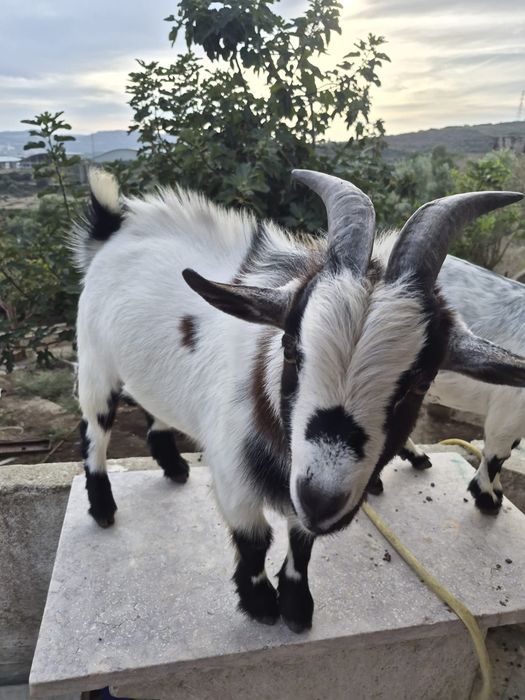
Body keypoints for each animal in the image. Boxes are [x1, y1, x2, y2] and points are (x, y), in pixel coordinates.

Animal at [73, 169, 524, 632]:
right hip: (95, 362)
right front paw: (261, 605)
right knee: (94, 429)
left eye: (421, 381)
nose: (322, 497)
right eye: (290, 348)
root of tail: (113, 229)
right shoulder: (234, 478)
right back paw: (103, 506)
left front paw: (295, 605)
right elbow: (255, 541)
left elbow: (300, 541)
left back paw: (174, 467)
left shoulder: (299, 493)